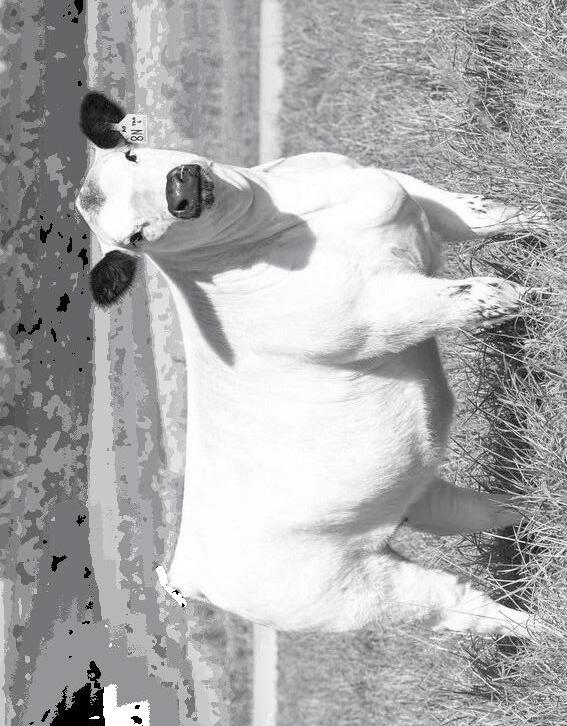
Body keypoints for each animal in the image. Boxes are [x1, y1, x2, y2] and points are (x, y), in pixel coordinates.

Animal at [77, 91, 543, 637]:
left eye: (132, 155)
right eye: (136, 236)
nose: (181, 190)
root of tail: (189, 573)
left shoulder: (409, 191)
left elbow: (489, 213)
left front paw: (546, 223)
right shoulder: (379, 312)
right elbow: (485, 296)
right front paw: (544, 296)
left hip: (406, 498)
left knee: (479, 510)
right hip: (352, 594)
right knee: (463, 607)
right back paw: (545, 630)